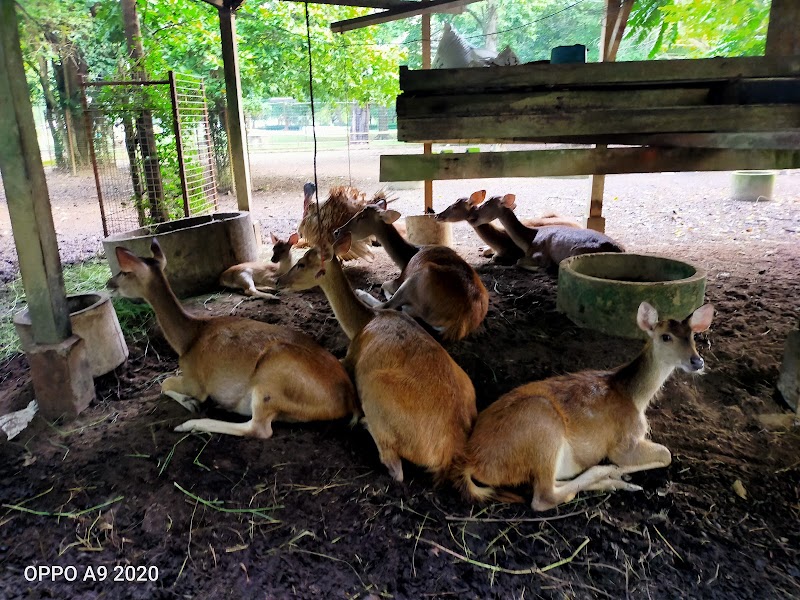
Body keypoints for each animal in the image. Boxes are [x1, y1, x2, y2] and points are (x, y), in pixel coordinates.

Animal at [106, 239, 356, 440]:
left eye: (124, 272)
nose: (109, 283)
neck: (187, 340)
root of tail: (346, 401)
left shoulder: (195, 380)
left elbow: (164, 382)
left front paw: (191, 403)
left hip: (272, 377)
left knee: (259, 429)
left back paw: (191, 424)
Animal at [276, 234, 476, 482]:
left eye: (301, 263)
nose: (279, 281)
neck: (363, 323)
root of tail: (450, 450)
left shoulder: (350, 357)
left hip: (374, 388)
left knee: (394, 467)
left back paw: (363, 422)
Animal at [332, 204, 488, 340]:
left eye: (361, 216)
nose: (336, 231)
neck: (406, 257)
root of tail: (459, 323)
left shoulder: (401, 278)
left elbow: (384, 284)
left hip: (417, 277)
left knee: (384, 306)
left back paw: (362, 292)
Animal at [460, 300, 716, 510]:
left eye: (692, 336)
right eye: (666, 336)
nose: (697, 361)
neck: (635, 398)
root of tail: (474, 462)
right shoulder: (624, 441)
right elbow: (665, 454)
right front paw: (620, 471)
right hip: (542, 427)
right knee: (544, 497)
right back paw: (608, 475)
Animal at [468, 195, 624, 272]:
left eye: (487, 203)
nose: (474, 215)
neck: (528, 241)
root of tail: (621, 250)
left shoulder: (540, 255)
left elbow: (519, 262)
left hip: (578, 253)